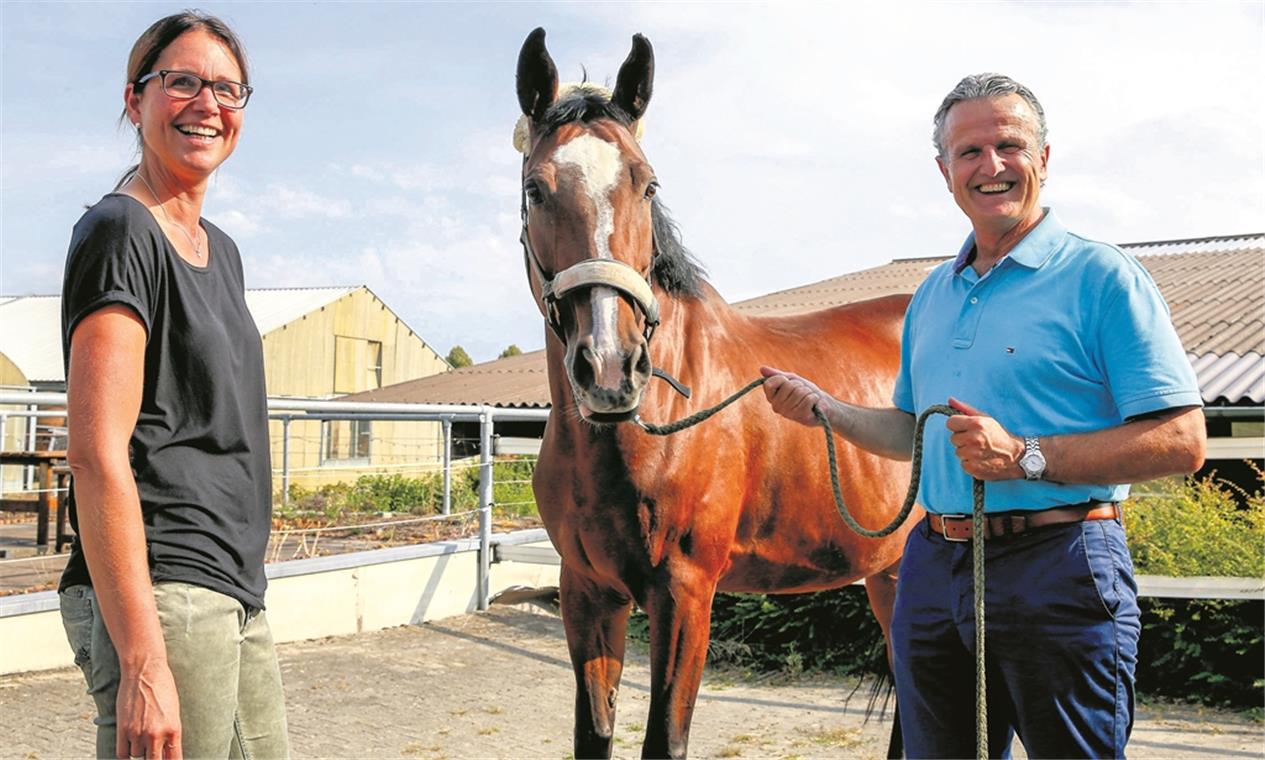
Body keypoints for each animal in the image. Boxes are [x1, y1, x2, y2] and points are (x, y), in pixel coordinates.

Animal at [513, 28, 920, 758]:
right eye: (535, 189)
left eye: (647, 184)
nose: (611, 368)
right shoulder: (586, 592)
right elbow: (595, 732)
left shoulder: (685, 595)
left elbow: (664, 739)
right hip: (890, 569)